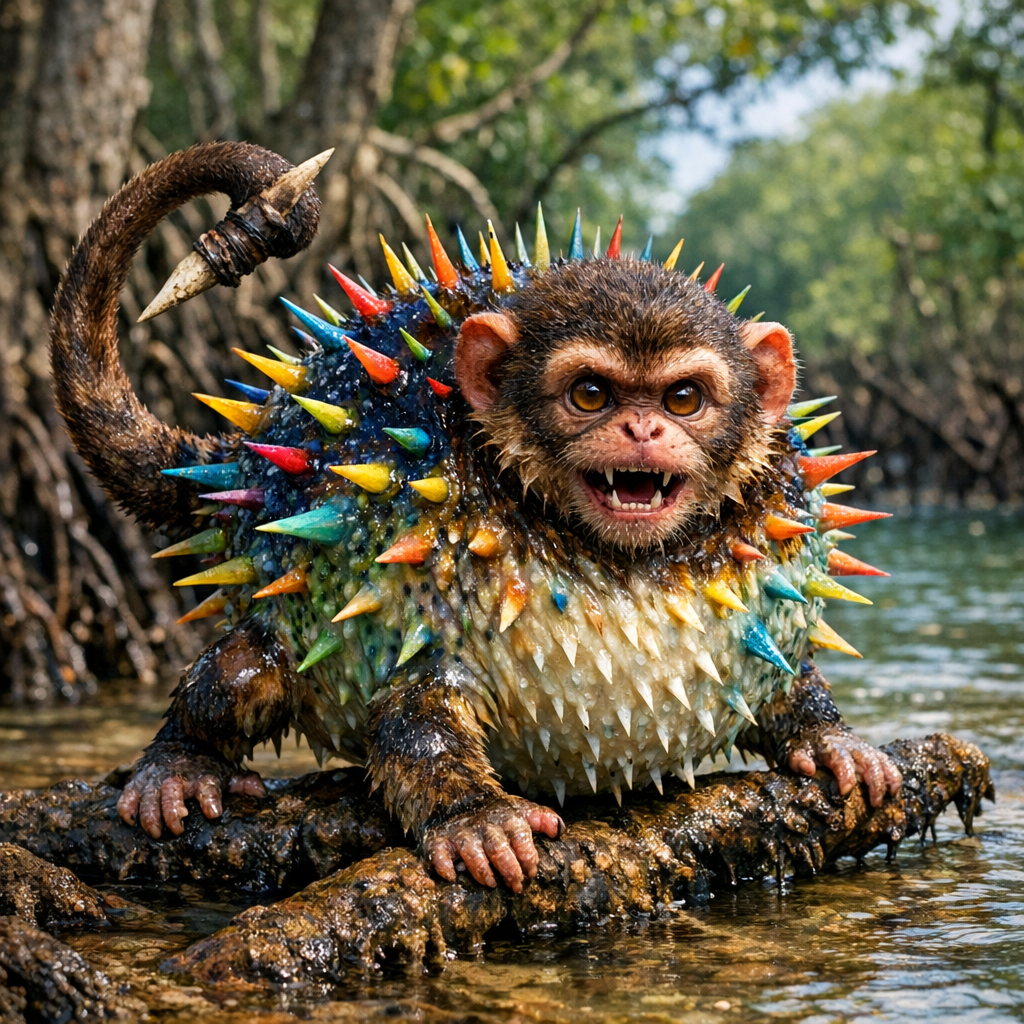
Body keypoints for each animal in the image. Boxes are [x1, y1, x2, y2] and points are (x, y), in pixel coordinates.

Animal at [50, 142, 900, 893]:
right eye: (590, 394)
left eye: (684, 398)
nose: (643, 430)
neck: (610, 551)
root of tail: (247, 455)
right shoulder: (420, 591)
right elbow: (413, 717)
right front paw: (475, 820)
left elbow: (787, 679)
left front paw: (836, 742)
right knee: (238, 672)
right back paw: (178, 766)